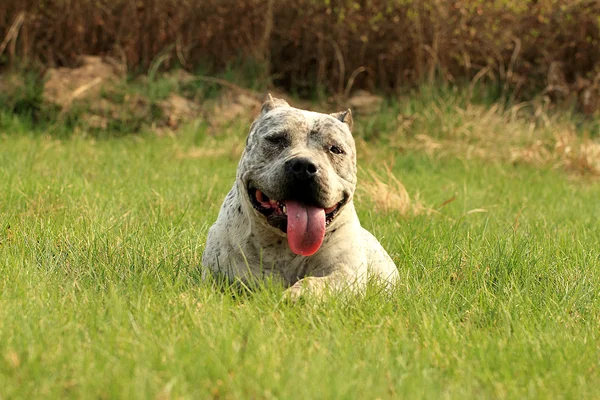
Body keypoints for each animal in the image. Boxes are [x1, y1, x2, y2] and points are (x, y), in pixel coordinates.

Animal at [202, 95, 398, 298]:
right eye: (276, 139)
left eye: (335, 149)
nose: (304, 165)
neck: (284, 243)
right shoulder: (226, 272)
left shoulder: (346, 273)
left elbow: (316, 282)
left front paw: (296, 295)